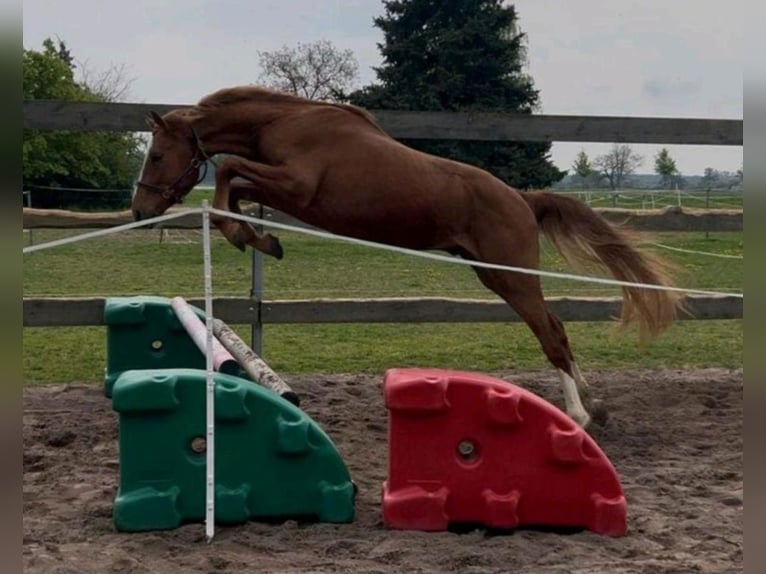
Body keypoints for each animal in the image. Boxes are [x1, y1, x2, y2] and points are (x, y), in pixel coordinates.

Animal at [132, 85, 683, 428]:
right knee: (556, 329)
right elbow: (236, 185)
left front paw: (246, 236)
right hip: (495, 276)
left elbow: (229, 173)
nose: (140, 209)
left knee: (552, 333)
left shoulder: (297, 186)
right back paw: (595, 405)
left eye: (156, 155)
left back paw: (581, 415)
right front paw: (258, 237)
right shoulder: (281, 187)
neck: (286, 121)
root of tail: (523, 201)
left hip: (512, 278)